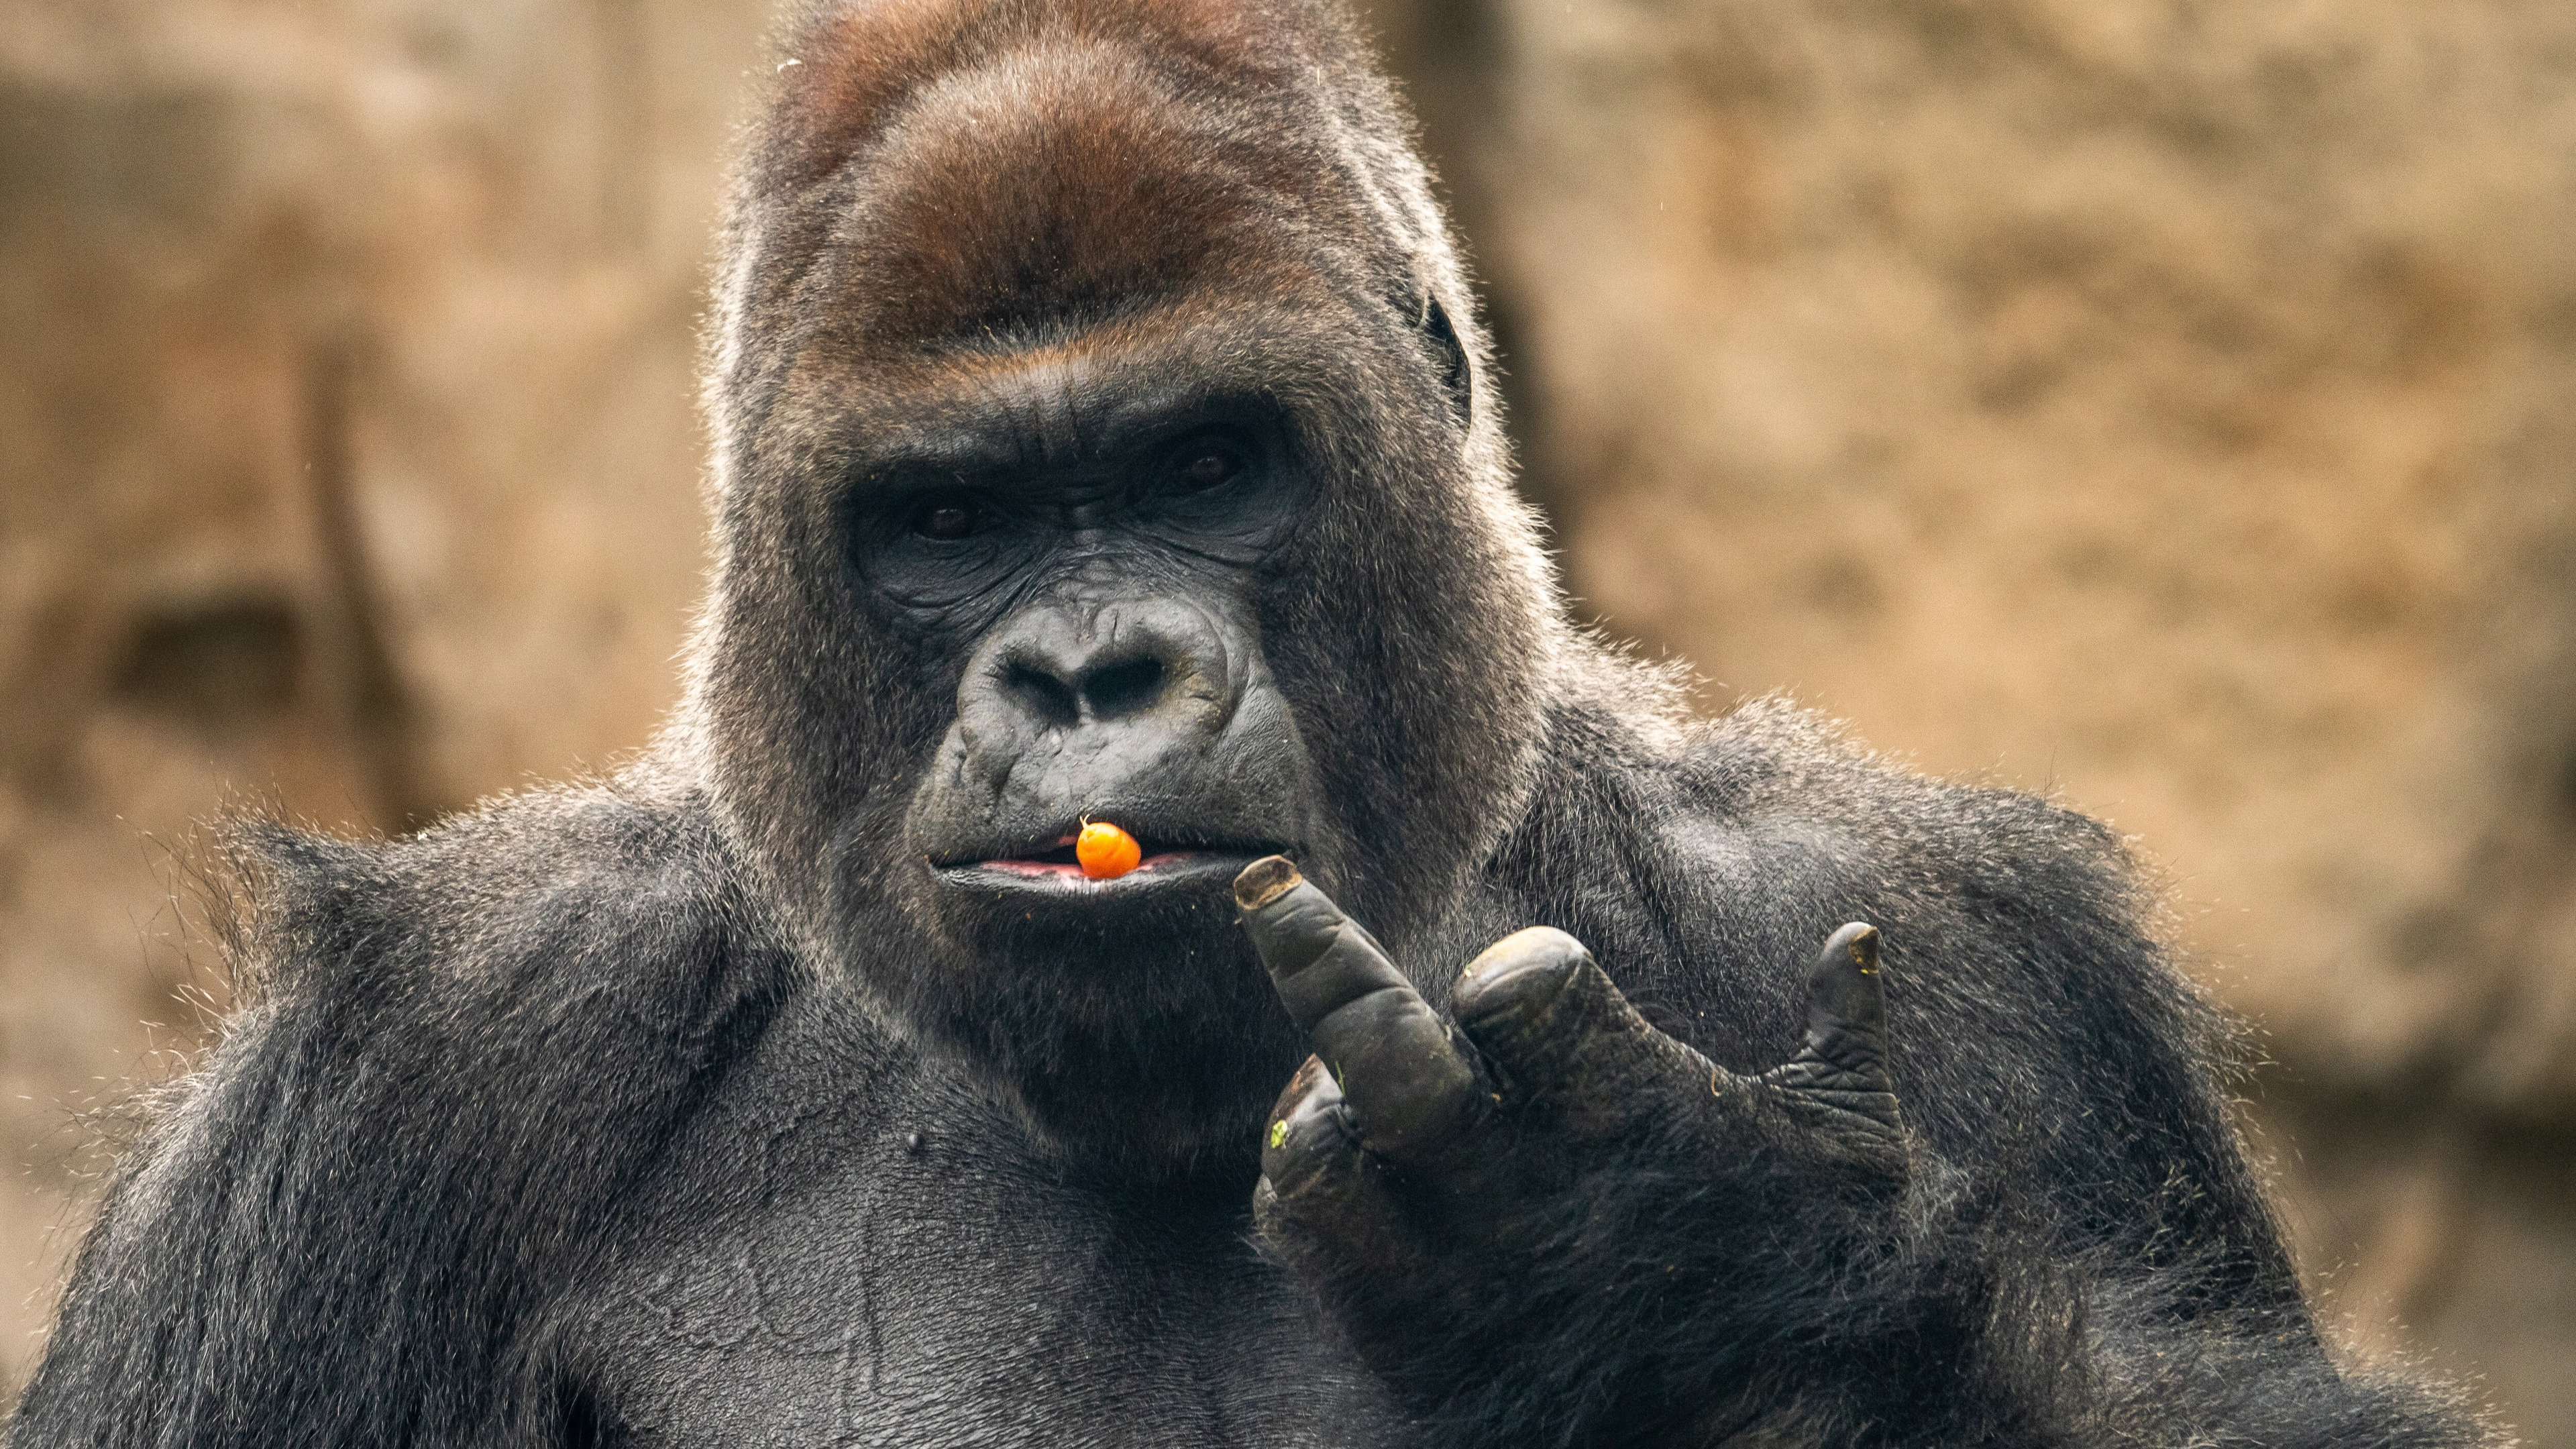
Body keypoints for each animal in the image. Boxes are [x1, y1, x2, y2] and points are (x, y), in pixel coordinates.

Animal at [7, 1, 2496, 1445]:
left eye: (1209, 464)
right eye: (949, 516)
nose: (1092, 673)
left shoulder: (1966, 951)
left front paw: (1687, 1280)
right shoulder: (413, 1065)